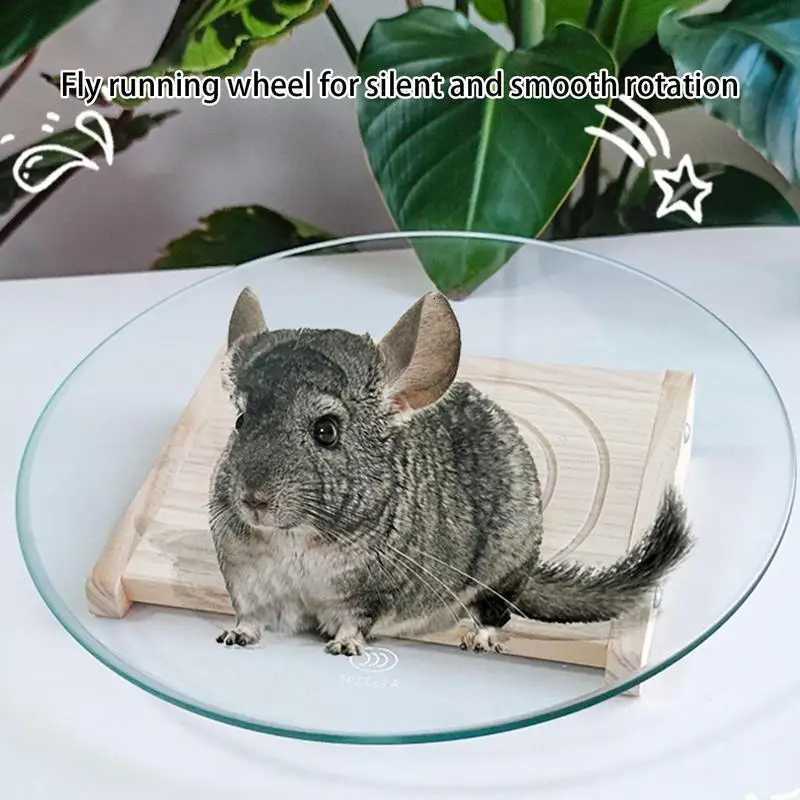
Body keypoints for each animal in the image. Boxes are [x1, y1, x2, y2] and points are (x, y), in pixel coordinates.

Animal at [210, 288, 691, 655]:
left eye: (326, 431)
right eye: (240, 421)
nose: (253, 499)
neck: (295, 540)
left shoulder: (373, 592)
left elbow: (355, 621)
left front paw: (344, 647)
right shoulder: (247, 580)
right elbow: (250, 615)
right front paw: (236, 635)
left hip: (502, 569)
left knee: (497, 610)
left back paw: (480, 638)